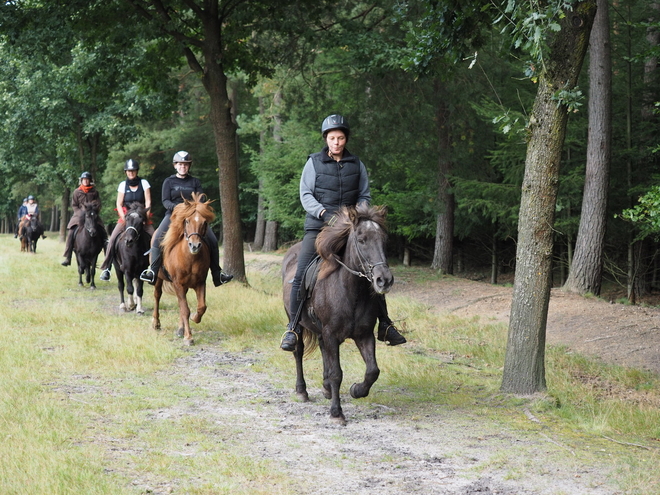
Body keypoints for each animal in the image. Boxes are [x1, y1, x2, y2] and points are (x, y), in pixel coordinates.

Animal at [151, 192, 214, 346]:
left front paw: (194, 319)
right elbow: (185, 309)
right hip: (158, 278)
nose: (194, 246)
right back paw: (156, 323)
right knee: (157, 295)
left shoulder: (200, 283)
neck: (190, 258)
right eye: (187, 221)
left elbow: (201, 307)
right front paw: (188, 337)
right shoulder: (178, 283)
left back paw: (180, 329)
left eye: (204, 222)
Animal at [282, 203, 394, 424]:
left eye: (384, 240)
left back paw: (325, 388)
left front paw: (357, 390)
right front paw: (336, 413)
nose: (384, 280)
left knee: (323, 350)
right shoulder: (331, 334)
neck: (351, 292)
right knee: (298, 351)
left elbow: (372, 371)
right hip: (295, 322)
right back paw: (302, 390)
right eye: (361, 239)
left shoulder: (364, 334)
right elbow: (336, 373)